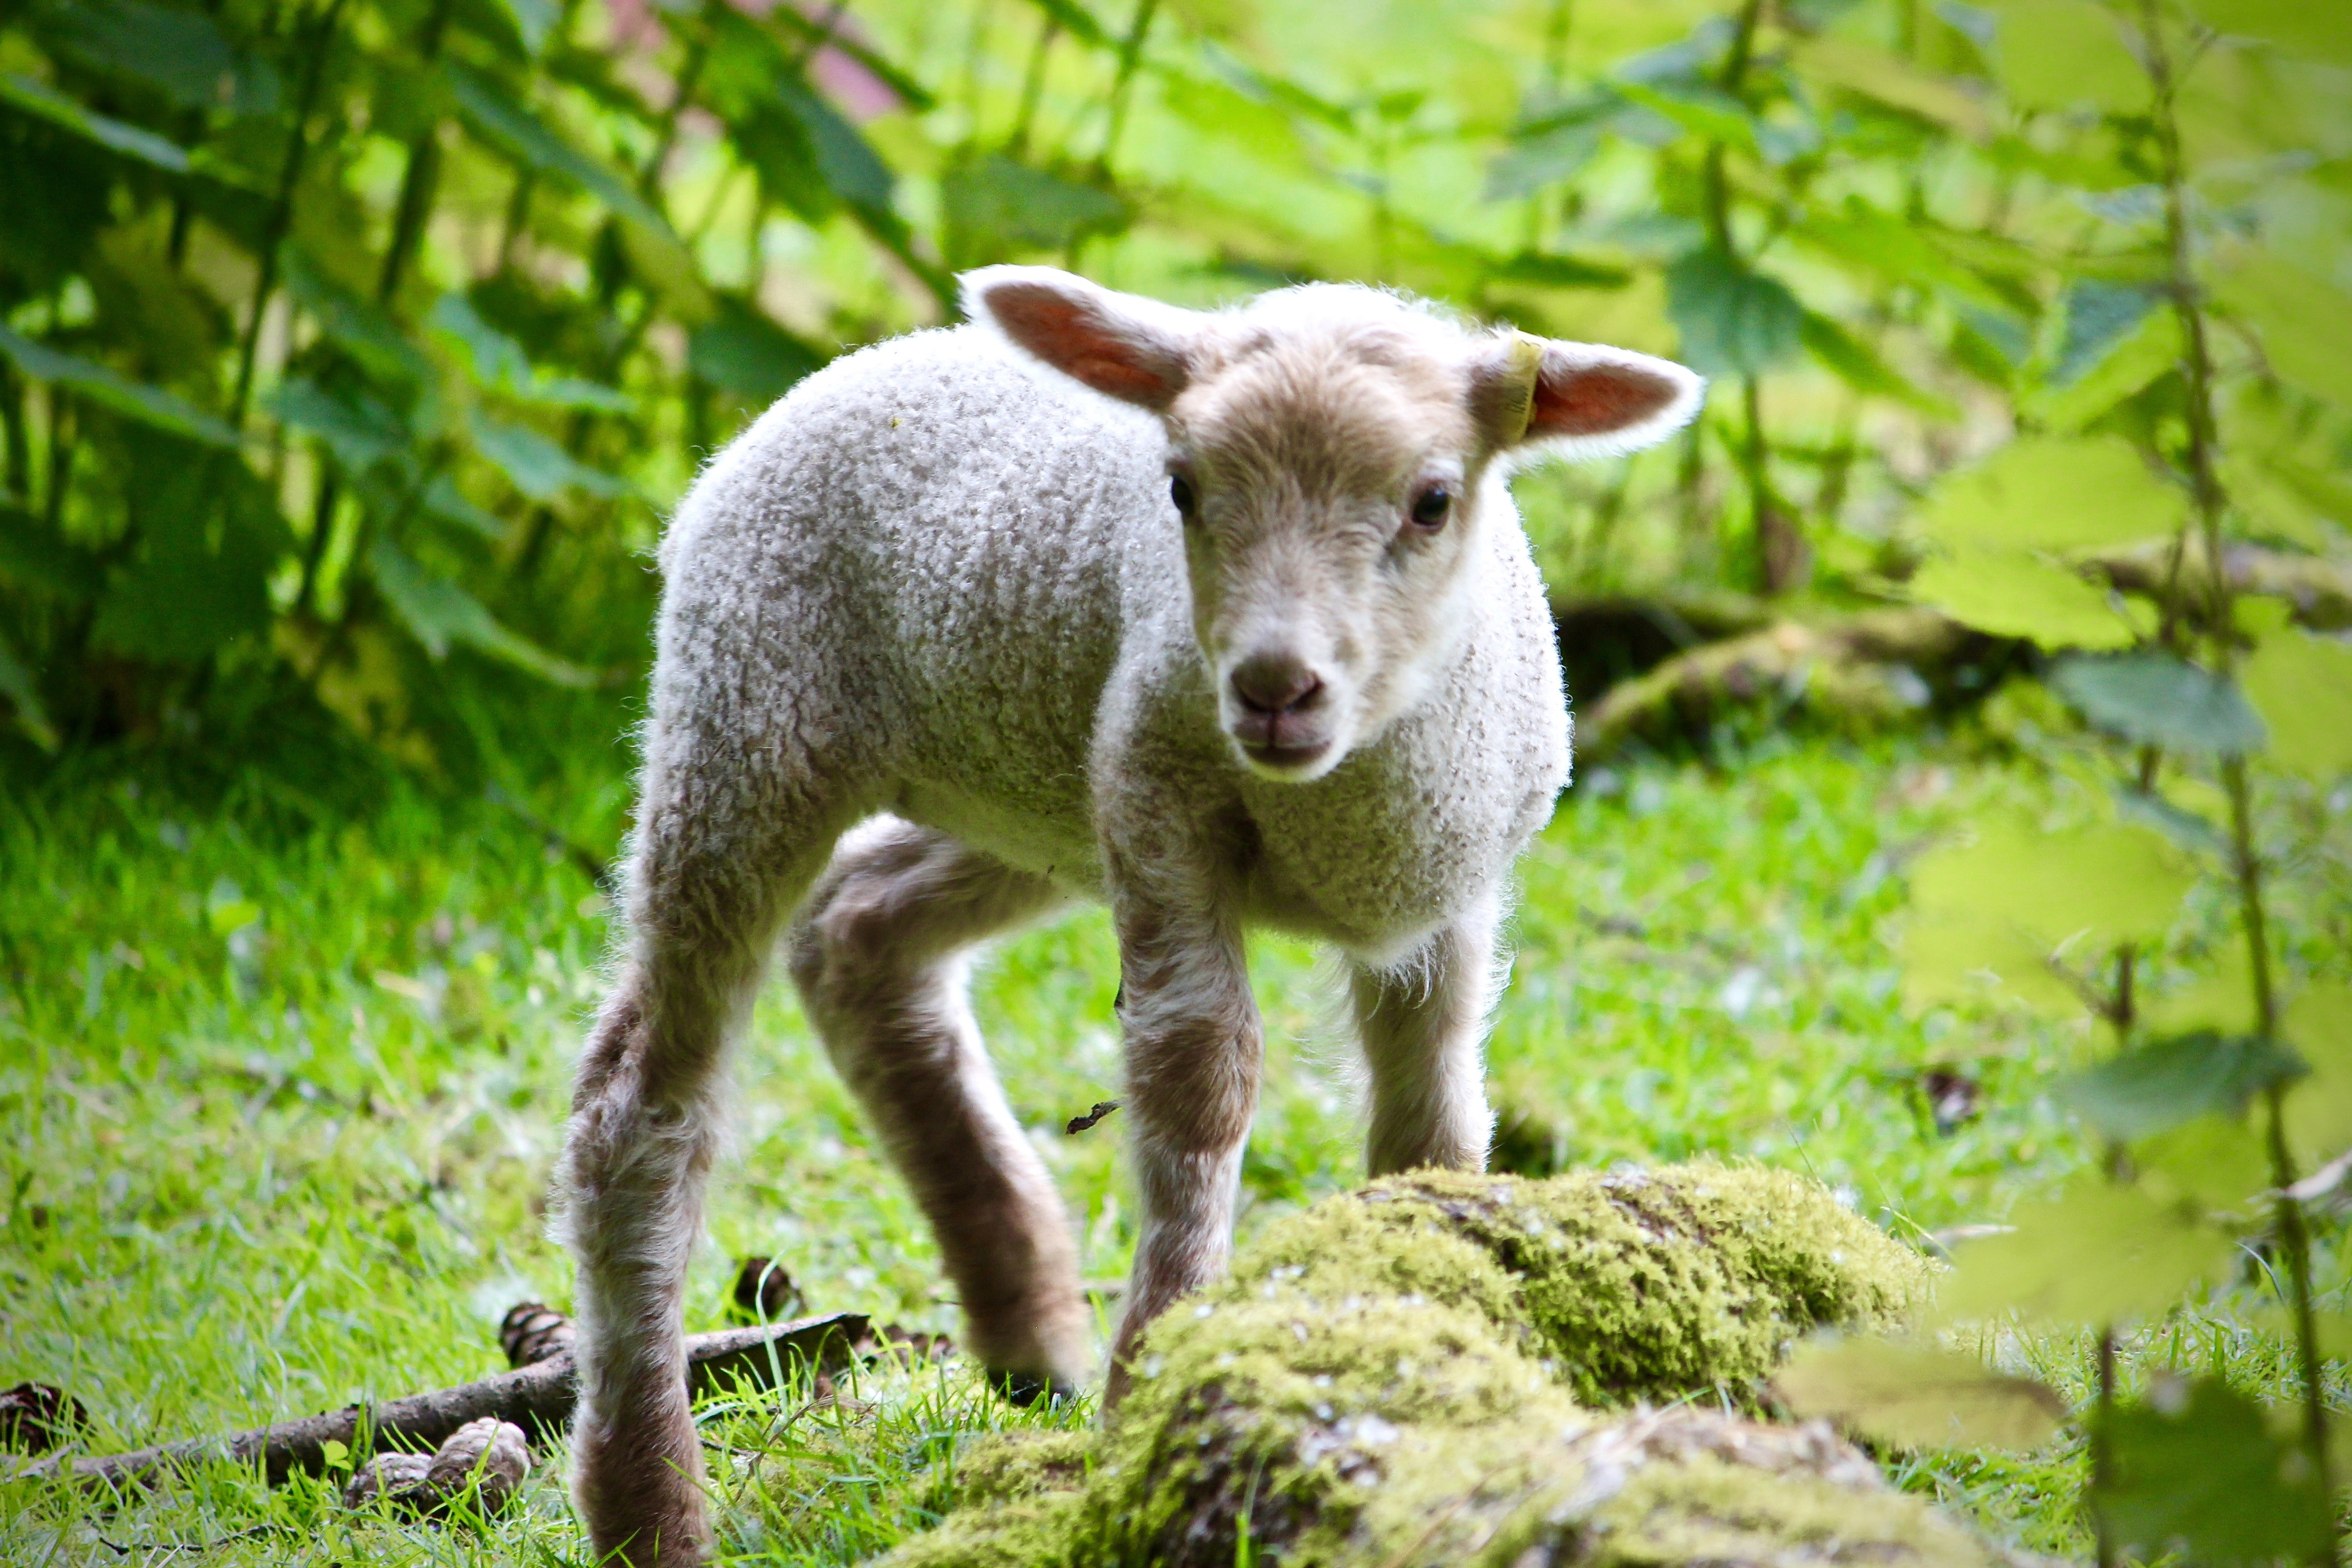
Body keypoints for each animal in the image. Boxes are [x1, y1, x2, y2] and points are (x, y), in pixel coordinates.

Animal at [552, 264, 1704, 1566]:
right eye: (1183, 488)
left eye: (1432, 502)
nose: (1272, 688)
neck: (1339, 804)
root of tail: (867, 360)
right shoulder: (1161, 814)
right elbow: (1200, 1081)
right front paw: (1154, 1373)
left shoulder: (1447, 886)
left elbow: (1436, 1121)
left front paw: (1413, 1300)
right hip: (748, 721)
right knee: (640, 1105)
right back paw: (647, 1502)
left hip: (1030, 794)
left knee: (856, 923)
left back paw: (1027, 1328)